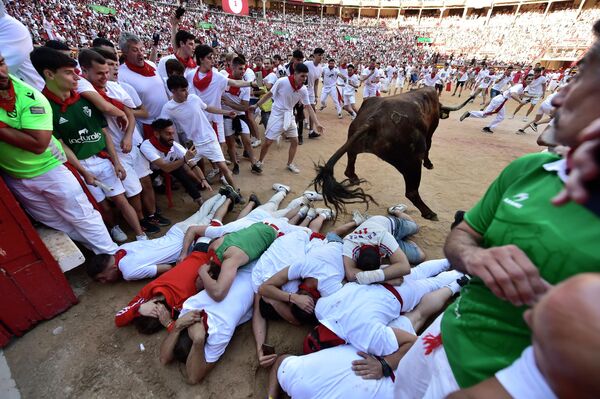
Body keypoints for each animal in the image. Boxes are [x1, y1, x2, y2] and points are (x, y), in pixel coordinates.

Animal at [314, 87, 474, 222]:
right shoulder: (431, 130)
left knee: (350, 160)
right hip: (411, 164)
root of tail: (375, 119)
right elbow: (428, 146)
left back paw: (354, 178)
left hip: (355, 142)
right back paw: (429, 213)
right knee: (411, 192)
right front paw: (429, 164)